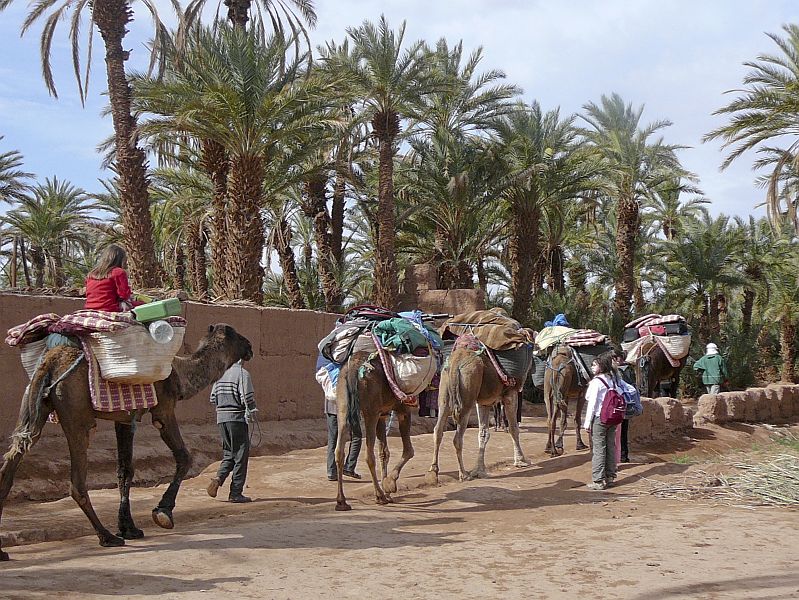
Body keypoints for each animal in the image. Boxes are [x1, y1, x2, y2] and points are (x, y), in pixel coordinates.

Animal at [0, 324, 253, 564]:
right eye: (237, 335)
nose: (250, 346)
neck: (180, 374)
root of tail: (50, 363)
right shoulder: (163, 409)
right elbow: (183, 456)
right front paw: (163, 513)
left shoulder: (124, 419)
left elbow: (125, 470)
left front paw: (129, 528)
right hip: (77, 413)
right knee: (77, 482)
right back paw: (107, 537)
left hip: (34, 406)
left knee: (13, 459)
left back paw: (2, 551)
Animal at [334, 352, 416, 510]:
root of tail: (354, 367)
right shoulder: (403, 407)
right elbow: (409, 450)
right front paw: (389, 485)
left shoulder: (382, 414)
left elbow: (384, 452)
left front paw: (388, 490)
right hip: (370, 411)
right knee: (368, 455)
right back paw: (379, 496)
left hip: (342, 406)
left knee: (339, 451)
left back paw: (341, 501)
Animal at [424, 344, 532, 486]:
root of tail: (455, 363)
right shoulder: (510, 393)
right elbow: (514, 428)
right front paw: (521, 461)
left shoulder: (484, 402)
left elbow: (483, 433)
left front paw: (479, 470)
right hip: (468, 389)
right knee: (457, 437)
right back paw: (464, 474)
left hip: (444, 390)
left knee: (438, 430)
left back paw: (433, 472)